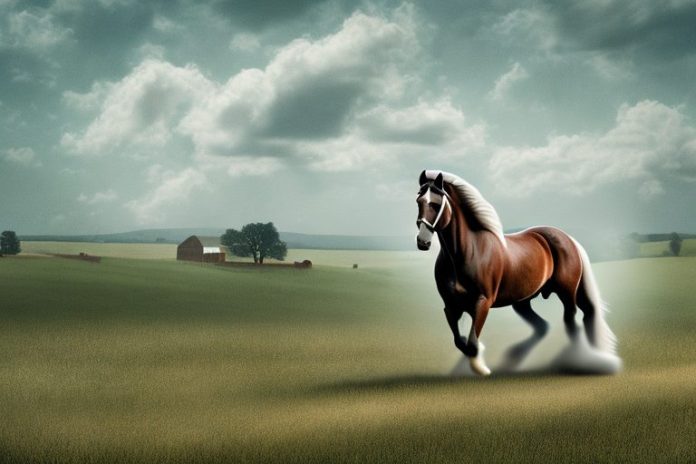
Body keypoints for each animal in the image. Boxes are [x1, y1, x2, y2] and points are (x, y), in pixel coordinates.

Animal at [415, 170, 621, 376]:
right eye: (418, 201)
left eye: (435, 204)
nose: (422, 242)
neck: (466, 253)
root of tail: (568, 239)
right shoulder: (450, 306)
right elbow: (460, 342)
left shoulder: (482, 302)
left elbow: (472, 343)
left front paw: (482, 368)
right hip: (522, 301)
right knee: (545, 326)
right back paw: (515, 356)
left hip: (567, 293)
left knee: (572, 321)